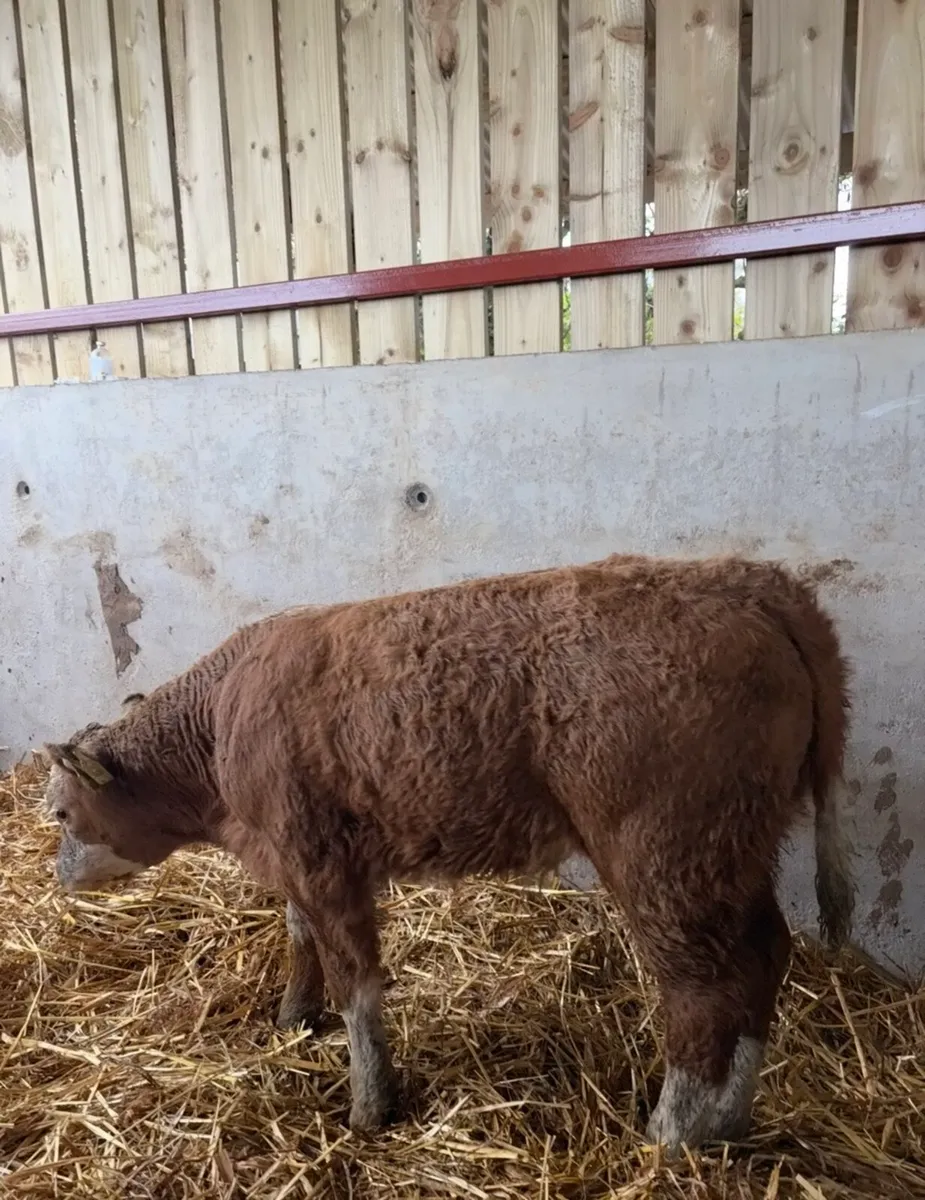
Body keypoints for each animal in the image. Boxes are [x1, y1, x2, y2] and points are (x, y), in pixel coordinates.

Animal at [41, 553, 854, 1154]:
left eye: (59, 810)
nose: (56, 875)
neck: (221, 720)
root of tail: (749, 582)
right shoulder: (294, 858)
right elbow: (301, 937)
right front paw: (293, 1016)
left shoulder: (320, 861)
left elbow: (357, 982)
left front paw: (370, 1106)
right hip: (733, 851)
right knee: (764, 958)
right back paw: (728, 1123)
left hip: (663, 853)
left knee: (704, 990)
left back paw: (669, 1136)